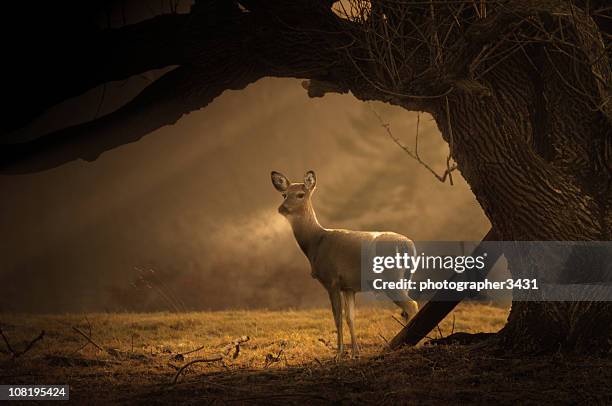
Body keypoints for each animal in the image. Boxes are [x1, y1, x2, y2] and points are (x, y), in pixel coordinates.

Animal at [270, 170, 418, 360]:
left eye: (300, 194)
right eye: (284, 194)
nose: (282, 208)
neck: (316, 242)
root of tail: (409, 245)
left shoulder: (331, 280)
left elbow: (337, 318)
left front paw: (339, 354)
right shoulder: (348, 287)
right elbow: (350, 317)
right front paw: (355, 352)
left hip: (390, 277)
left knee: (411, 305)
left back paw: (409, 343)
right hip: (405, 278)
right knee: (407, 308)